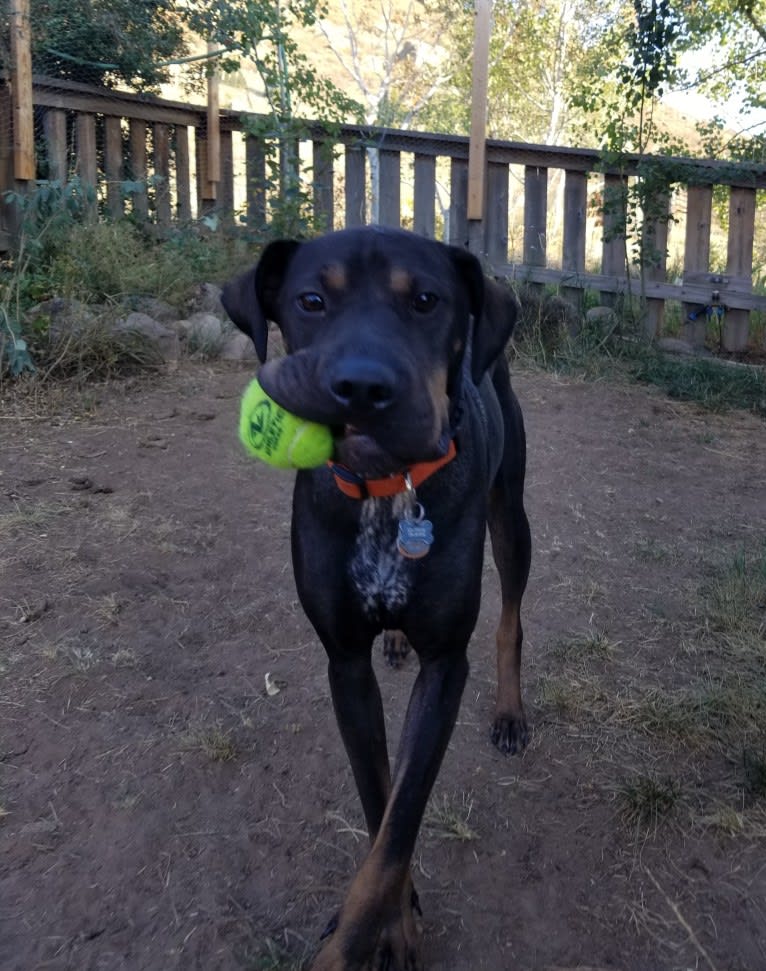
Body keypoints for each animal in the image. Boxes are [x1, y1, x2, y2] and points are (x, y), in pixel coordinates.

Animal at [225, 230, 532, 971]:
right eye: (311, 300)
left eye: (426, 300)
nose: (362, 387)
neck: (386, 490)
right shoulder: (344, 664)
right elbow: (378, 800)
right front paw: (396, 925)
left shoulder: (447, 665)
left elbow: (399, 824)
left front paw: (361, 941)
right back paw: (395, 636)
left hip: (511, 514)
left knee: (511, 615)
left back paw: (510, 711)